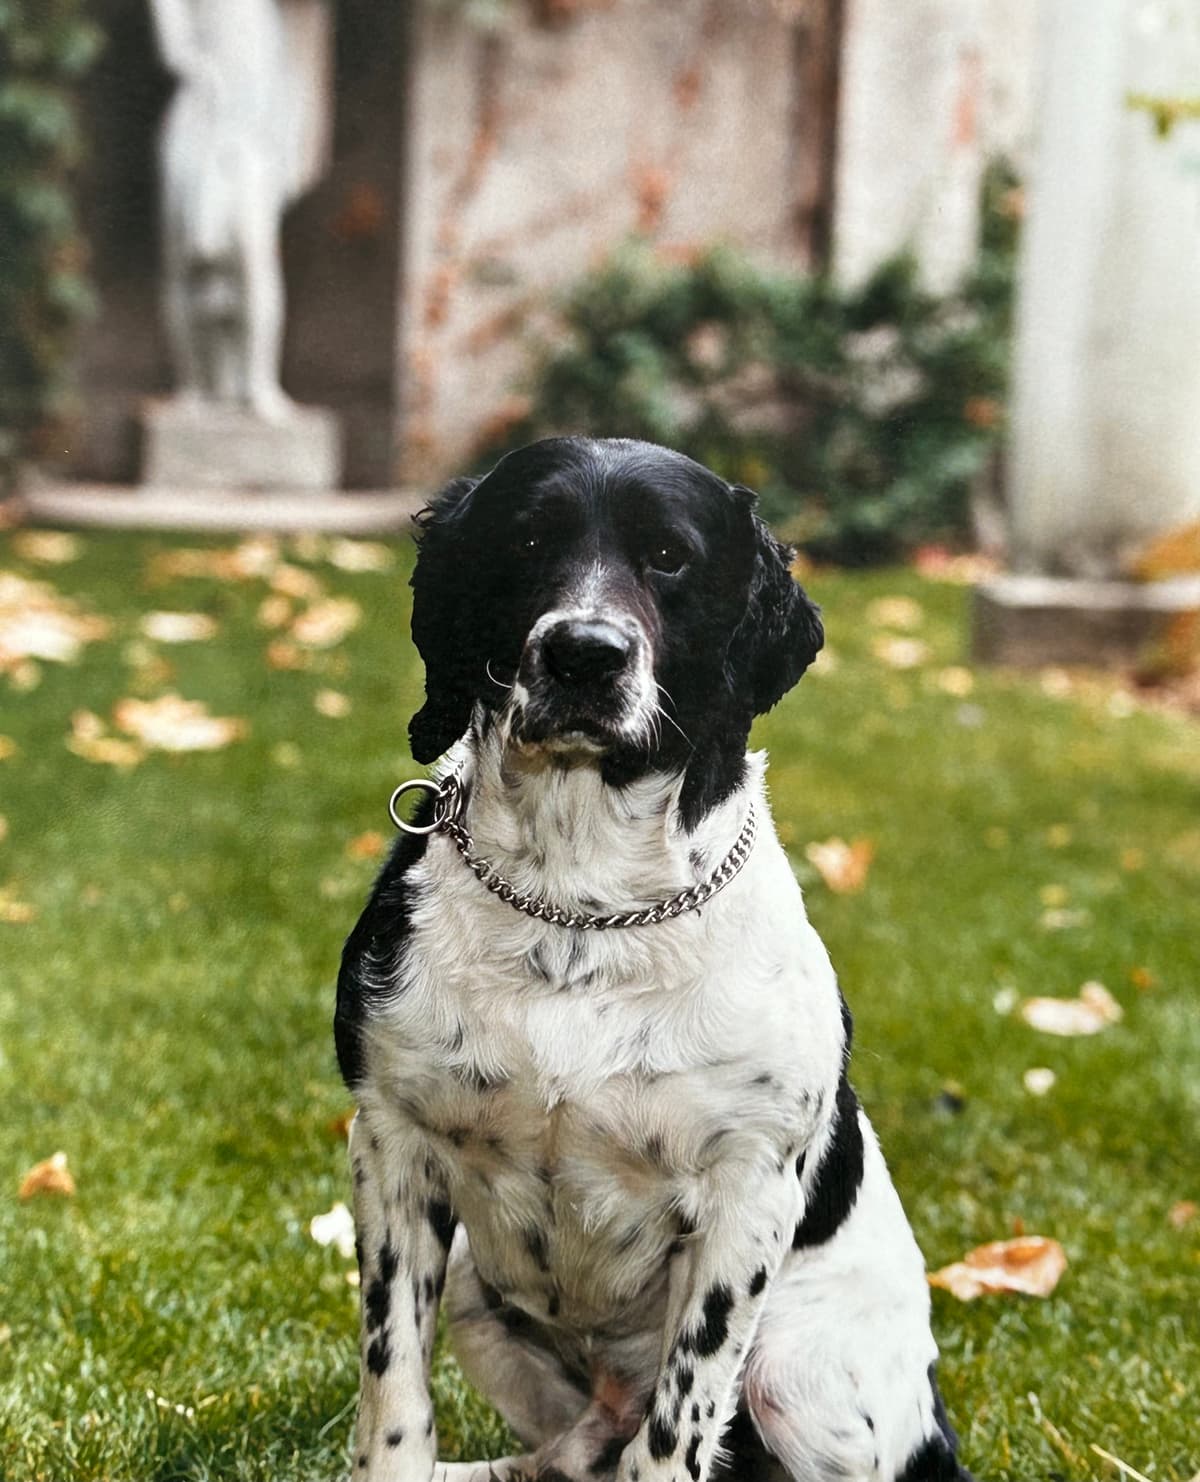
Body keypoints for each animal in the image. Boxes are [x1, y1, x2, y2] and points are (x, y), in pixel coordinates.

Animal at [331, 435, 965, 1482]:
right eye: (528, 538)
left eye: (669, 556)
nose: (584, 652)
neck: (580, 911)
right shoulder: (393, 1142)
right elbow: (394, 1392)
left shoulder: (746, 1197)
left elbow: (676, 1428)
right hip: (473, 1289)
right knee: (571, 1447)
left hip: (796, 1375)